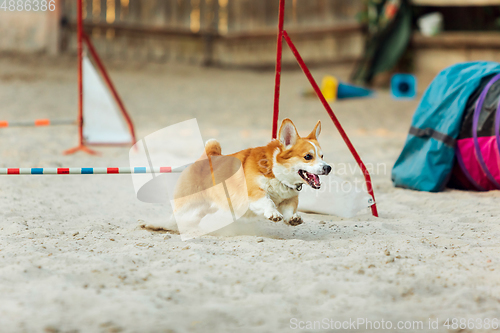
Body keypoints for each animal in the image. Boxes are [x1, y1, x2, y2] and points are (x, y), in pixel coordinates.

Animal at [172, 118, 332, 230]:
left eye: (322, 156)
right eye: (308, 156)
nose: (328, 168)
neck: (276, 173)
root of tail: (209, 154)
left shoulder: (289, 200)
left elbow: (290, 209)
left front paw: (293, 218)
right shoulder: (255, 193)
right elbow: (268, 202)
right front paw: (273, 213)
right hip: (188, 202)